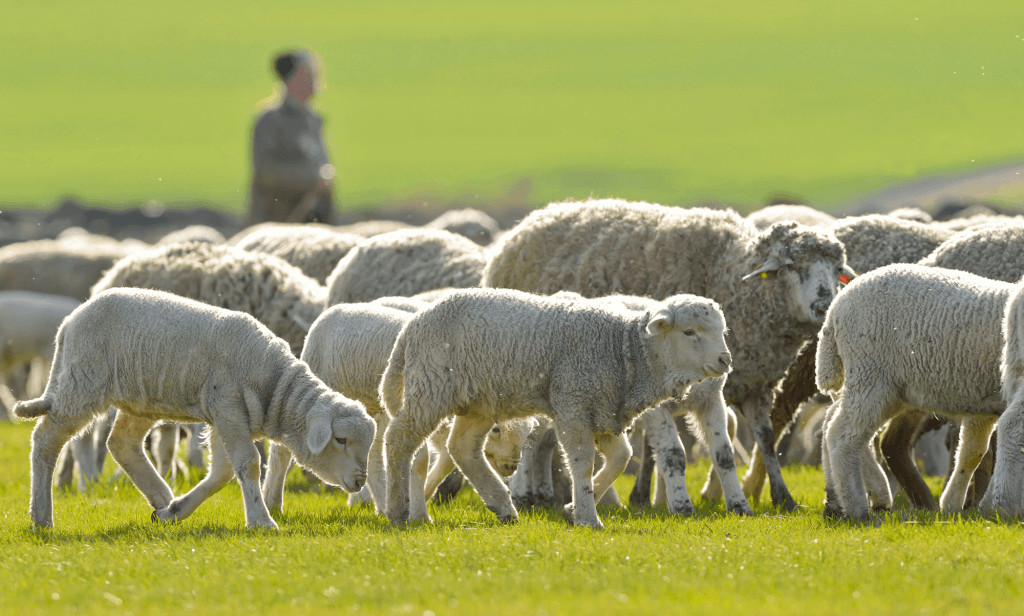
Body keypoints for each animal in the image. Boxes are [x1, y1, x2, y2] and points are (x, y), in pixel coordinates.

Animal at [12, 288, 376, 528]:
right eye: (341, 440)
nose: (361, 481)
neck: (274, 385)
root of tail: (70, 322)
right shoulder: (228, 405)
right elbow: (248, 464)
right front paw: (261, 521)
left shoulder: (226, 415)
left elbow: (223, 472)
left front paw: (177, 510)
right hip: (83, 382)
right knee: (45, 440)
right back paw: (41, 517)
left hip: (139, 398)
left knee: (121, 443)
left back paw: (161, 498)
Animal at [378, 288, 745, 528]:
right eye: (689, 331)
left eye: (721, 331)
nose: (725, 360)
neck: (623, 350)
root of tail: (412, 325)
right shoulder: (574, 403)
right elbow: (581, 462)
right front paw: (588, 517)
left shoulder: (603, 408)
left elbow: (620, 458)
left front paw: (573, 507)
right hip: (432, 387)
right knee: (399, 440)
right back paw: (399, 511)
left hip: (479, 401)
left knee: (462, 448)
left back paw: (502, 506)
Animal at [483, 197, 851, 507]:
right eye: (792, 266)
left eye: (837, 270)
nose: (824, 305)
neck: (734, 275)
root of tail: (535, 218)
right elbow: (663, 446)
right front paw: (651, 495)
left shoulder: (756, 384)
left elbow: (766, 441)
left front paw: (780, 496)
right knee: (532, 435)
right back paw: (528, 492)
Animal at [815, 264, 1007, 517]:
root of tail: (835, 307)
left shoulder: (983, 403)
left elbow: (972, 453)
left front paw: (954, 504)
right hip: (871, 375)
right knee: (842, 434)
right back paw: (857, 508)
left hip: (886, 388)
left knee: (835, 422)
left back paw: (851, 498)